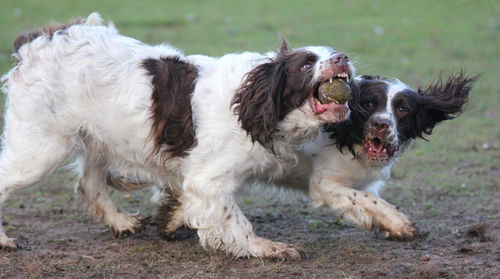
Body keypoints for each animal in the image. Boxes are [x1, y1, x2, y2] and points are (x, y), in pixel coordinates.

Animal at [0, 10, 356, 260]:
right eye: (306, 64)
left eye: (332, 52)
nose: (343, 57)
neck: (250, 105)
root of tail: (37, 40)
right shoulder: (208, 180)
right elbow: (235, 222)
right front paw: (268, 248)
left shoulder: (197, 177)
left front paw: (170, 219)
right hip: (40, 149)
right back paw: (4, 241)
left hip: (96, 136)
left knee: (90, 182)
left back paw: (121, 222)